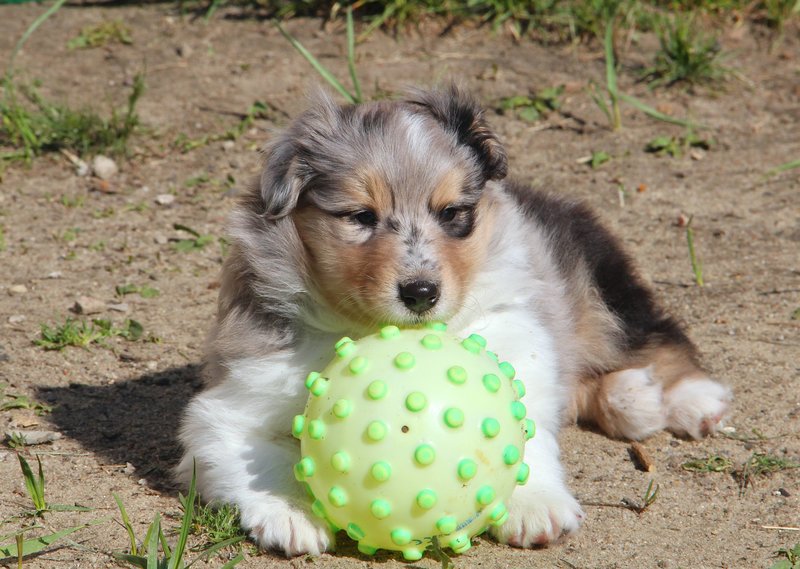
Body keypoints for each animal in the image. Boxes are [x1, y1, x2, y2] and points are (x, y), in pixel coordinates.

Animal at [178, 84, 736, 556]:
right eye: (360, 216)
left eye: (452, 214)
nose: (421, 293)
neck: (363, 327)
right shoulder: (231, 404)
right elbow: (255, 455)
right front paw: (291, 513)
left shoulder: (516, 342)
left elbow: (526, 432)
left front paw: (535, 506)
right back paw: (634, 399)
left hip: (601, 287)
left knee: (656, 338)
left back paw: (689, 400)